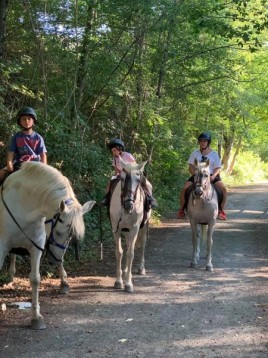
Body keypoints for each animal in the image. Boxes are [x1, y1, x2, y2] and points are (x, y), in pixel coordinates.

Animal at [0, 162, 95, 330]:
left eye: (71, 236)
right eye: (58, 232)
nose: (53, 260)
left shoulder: (36, 247)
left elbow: (35, 279)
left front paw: (36, 317)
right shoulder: (1, 245)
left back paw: (63, 282)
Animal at [109, 161, 151, 292]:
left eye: (138, 180)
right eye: (122, 178)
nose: (128, 205)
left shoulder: (134, 229)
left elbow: (130, 253)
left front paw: (128, 283)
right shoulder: (116, 229)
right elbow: (119, 252)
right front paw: (118, 281)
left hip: (143, 227)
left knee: (143, 244)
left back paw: (141, 268)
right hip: (126, 230)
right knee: (127, 245)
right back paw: (126, 270)